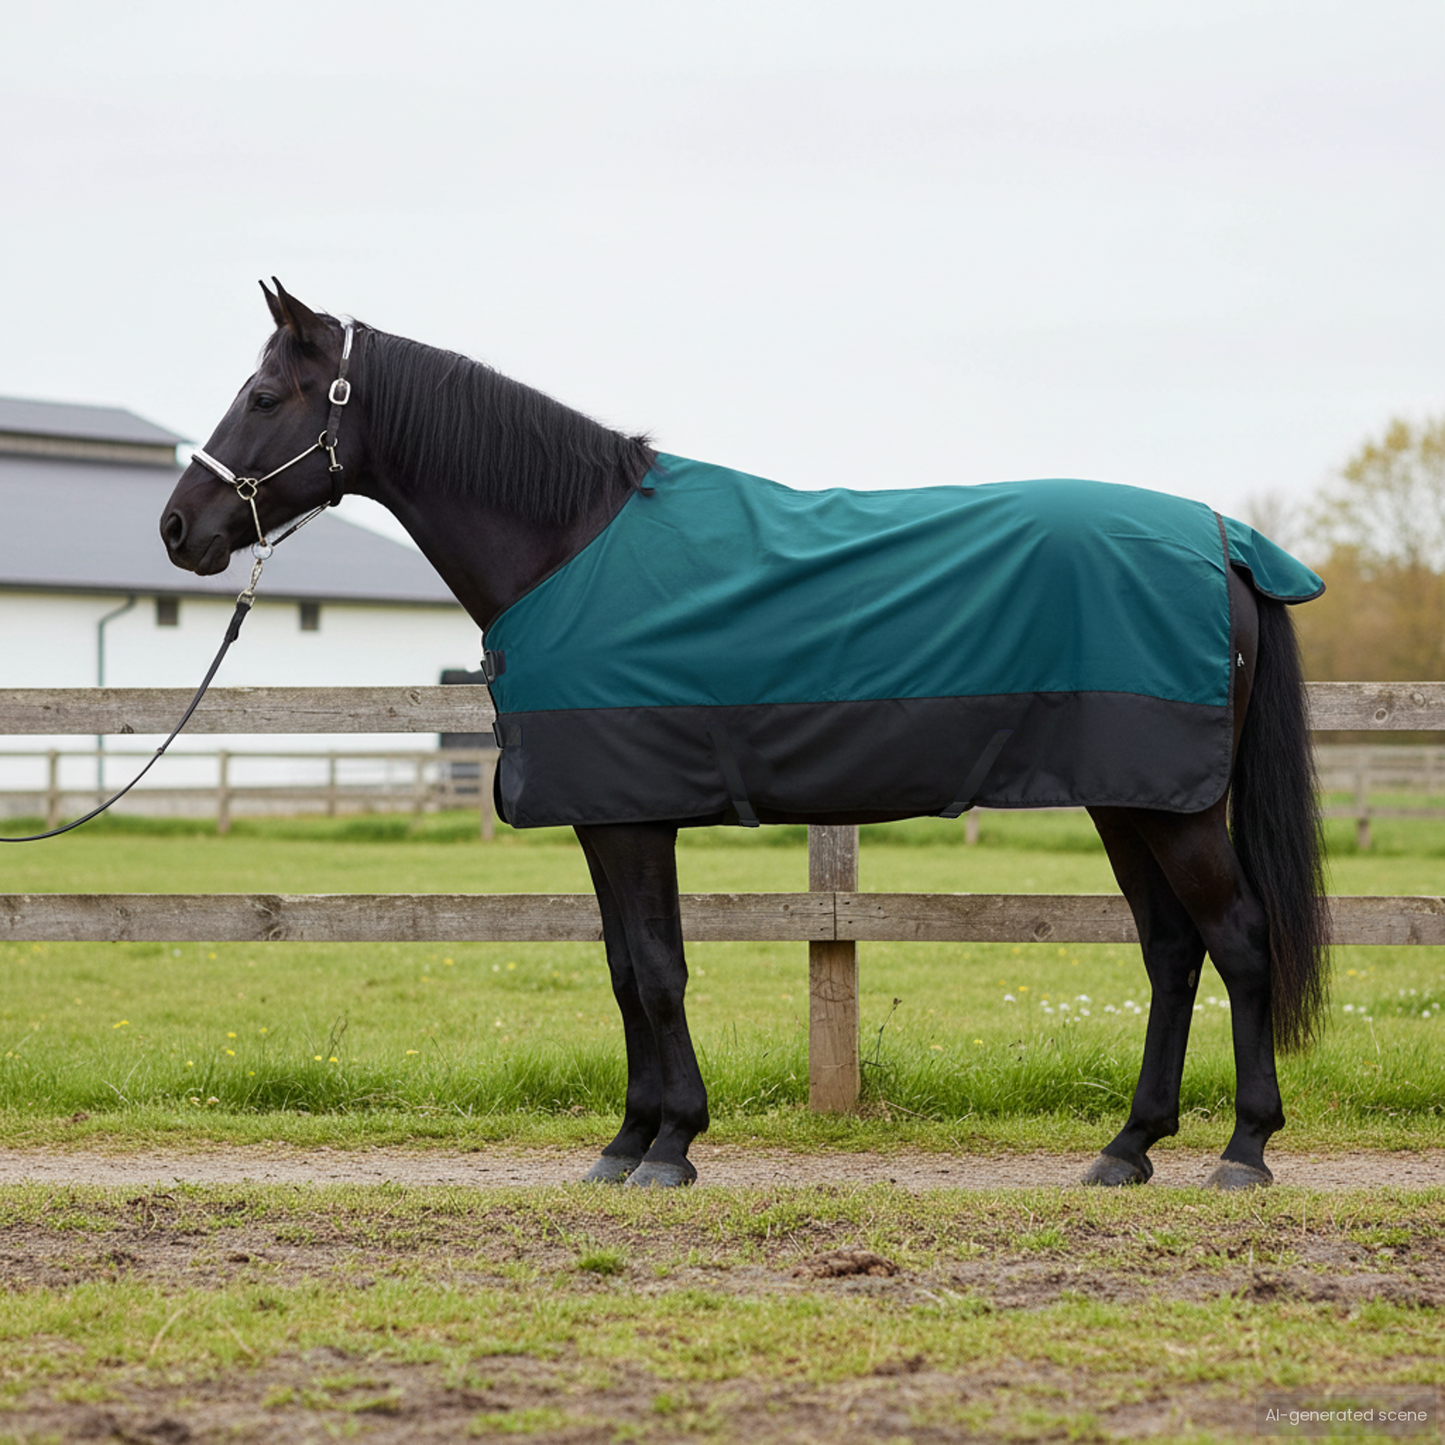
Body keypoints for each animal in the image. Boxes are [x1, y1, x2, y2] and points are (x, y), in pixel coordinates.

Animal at [160, 281, 1329, 1191]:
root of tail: (1223, 540)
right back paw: (1127, 1147)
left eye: (262, 396)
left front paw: (670, 1143)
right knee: (1171, 950)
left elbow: (657, 971)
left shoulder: (632, 818)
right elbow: (625, 969)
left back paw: (1242, 1149)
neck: (567, 543)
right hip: (1128, 799)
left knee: (1238, 940)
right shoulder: (607, 817)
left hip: (1169, 807)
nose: (178, 528)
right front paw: (628, 1139)